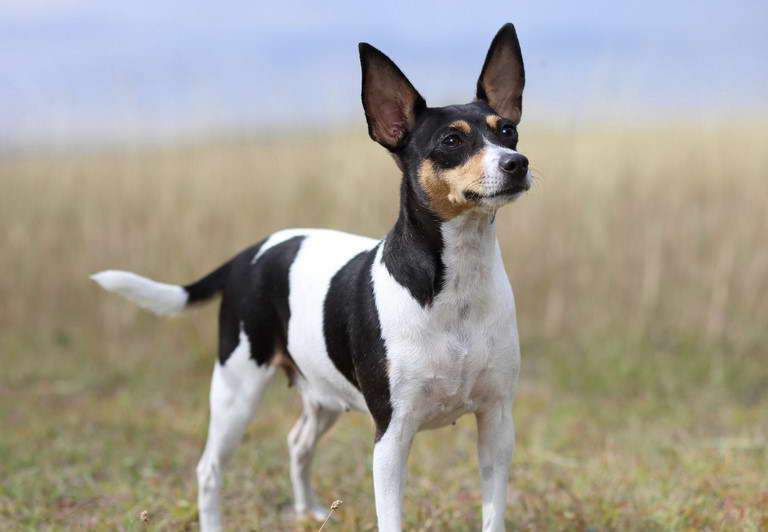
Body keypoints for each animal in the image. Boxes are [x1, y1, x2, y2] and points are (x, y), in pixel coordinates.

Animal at [91, 22, 528, 528]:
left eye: (509, 131)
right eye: (451, 142)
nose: (517, 163)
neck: (456, 286)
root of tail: (250, 253)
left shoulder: (497, 423)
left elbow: (494, 513)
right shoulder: (391, 434)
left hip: (321, 393)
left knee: (297, 441)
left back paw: (307, 510)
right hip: (236, 391)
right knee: (209, 469)